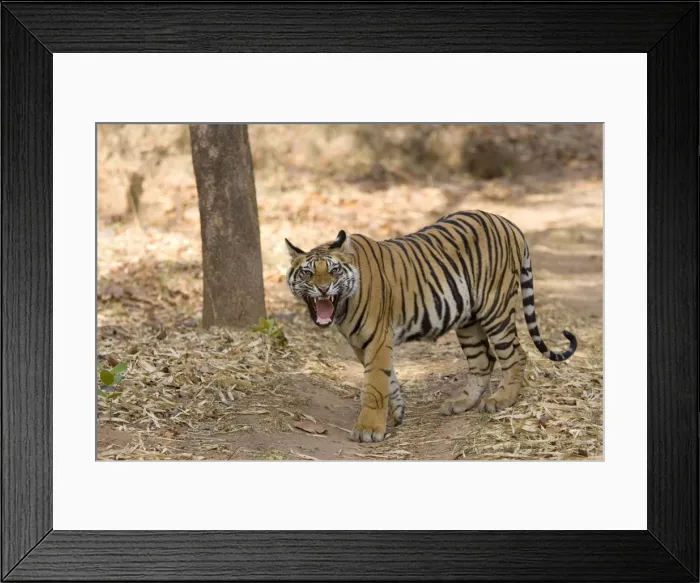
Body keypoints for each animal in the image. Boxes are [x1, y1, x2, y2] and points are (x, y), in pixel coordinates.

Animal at [284, 209, 577, 443]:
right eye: (307, 273)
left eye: (333, 271)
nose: (323, 289)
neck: (343, 306)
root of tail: (507, 222)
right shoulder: (362, 344)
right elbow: (388, 378)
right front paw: (398, 412)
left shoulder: (377, 339)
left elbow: (375, 385)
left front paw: (368, 430)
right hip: (468, 321)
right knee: (483, 360)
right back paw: (461, 403)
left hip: (496, 308)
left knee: (516, 355)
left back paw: (501, 400)